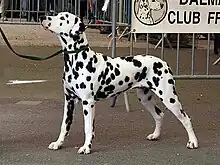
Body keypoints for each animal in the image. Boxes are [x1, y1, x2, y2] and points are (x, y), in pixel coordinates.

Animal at [40, 12, 199, 154]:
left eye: (62, 17)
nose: (42, 17)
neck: (77, 59)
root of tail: (163, 62)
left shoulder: (88, 102)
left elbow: (87, 128)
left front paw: (86, 147)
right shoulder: (69, 101)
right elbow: (65, 125)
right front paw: (58, 143)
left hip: (169, 98)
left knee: (186, 118)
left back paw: (193, 142)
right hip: (145, 98)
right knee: (159, 115)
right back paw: (155, 135)